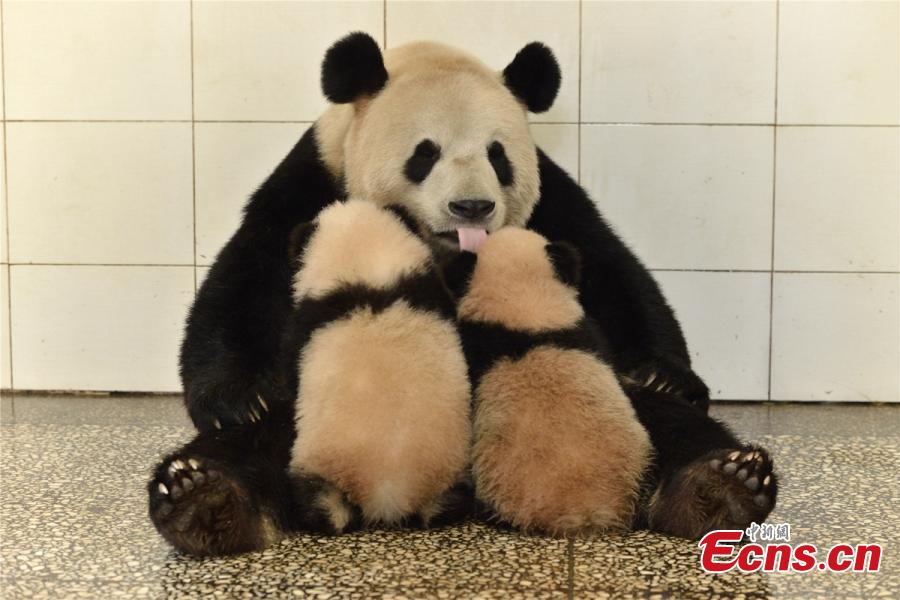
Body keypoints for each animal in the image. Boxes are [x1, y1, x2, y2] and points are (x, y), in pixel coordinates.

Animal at [283, 199, 471, 533]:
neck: (371, 282)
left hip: (322, 464)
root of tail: (387, 498)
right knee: (449, 502)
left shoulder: (307, 321)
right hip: (450, 472)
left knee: (317, 500)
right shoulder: (432, 293)